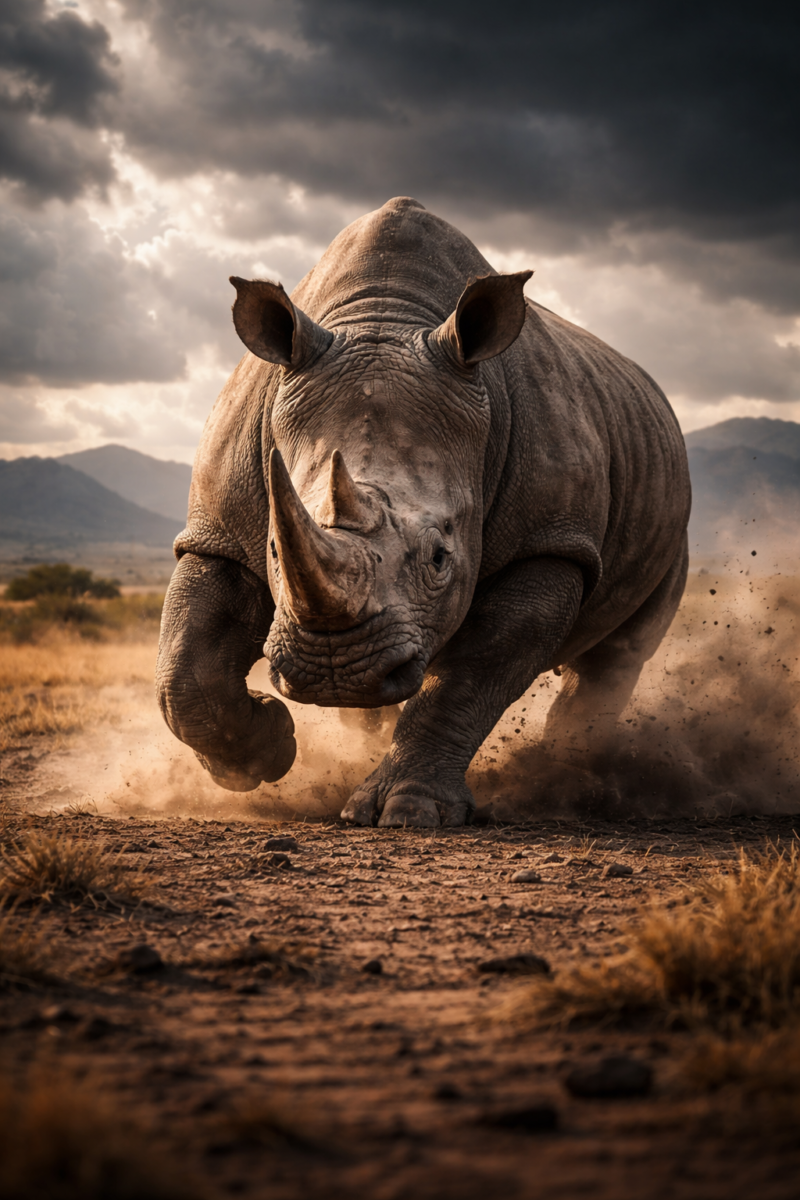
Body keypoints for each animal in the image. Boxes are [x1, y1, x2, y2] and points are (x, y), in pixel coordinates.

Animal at [156, 196, 691, 827]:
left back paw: (570, 774)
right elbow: (186, 668)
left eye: (440, 557)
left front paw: (407, 812)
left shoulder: (552, 540)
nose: (336, 669)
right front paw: (262, 754)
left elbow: (471, 675)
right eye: (272, 550)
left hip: (670, 520)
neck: (382, 321)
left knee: (619, 655)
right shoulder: (217, 532)